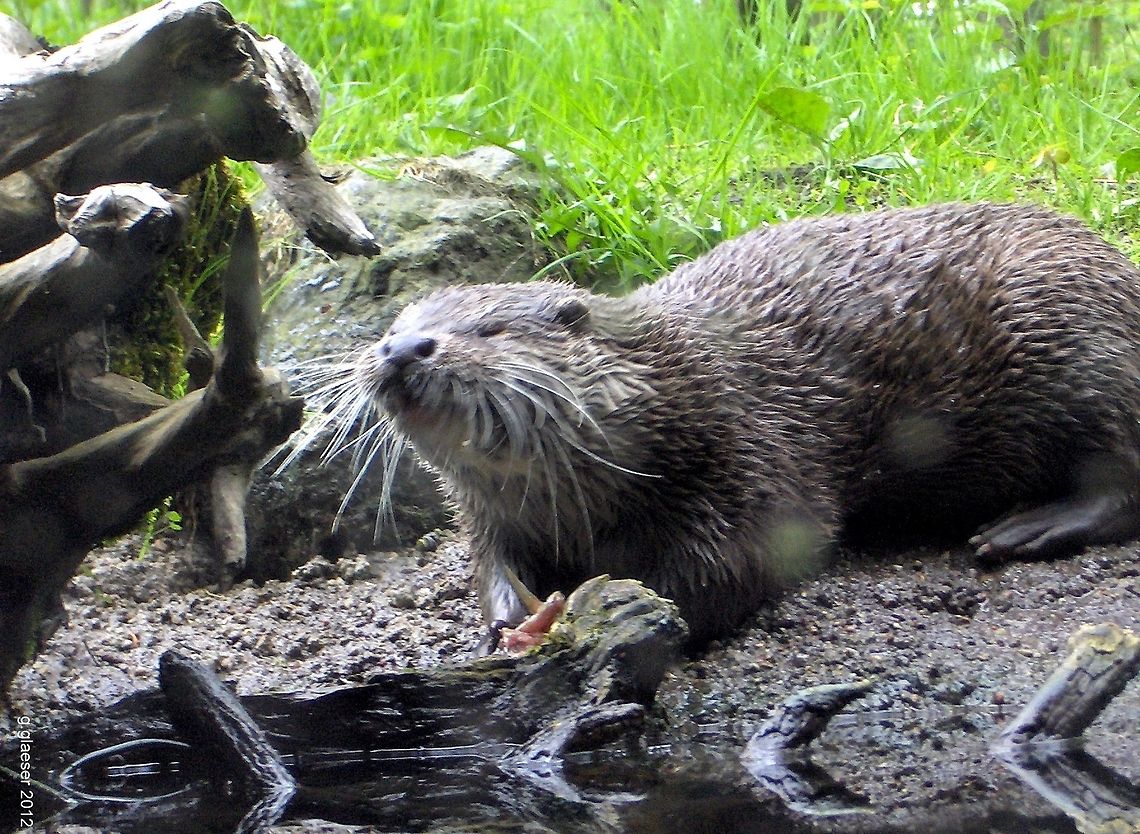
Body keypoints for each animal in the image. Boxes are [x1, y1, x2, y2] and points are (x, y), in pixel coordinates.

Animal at [312, 202, 1140, 644]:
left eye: (488, 329)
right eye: (395, 325)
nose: (402, 349)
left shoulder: (749, 457)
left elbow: (721, 574)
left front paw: (574, 610)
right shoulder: (491, 513)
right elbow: (486, 560)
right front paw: (509, 613)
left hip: (1073, 338)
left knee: (1121, 477)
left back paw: (1025, 528)